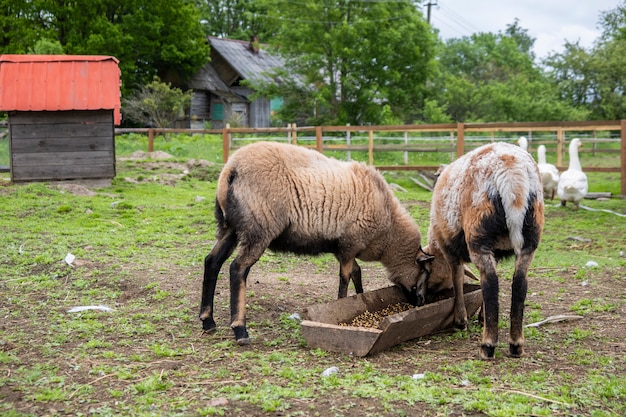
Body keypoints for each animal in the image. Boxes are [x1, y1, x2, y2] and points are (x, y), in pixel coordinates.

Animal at [200, 141, 434, 342]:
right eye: (425, 272)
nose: (422, 302)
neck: (389, 228)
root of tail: (231, 169)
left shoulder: (344, 248)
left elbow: (356, 273)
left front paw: (362, 298)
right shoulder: (350, 244)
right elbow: (345, 278)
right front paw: (342, 304)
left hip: (230, 228)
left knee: (212, 262)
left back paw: (208, 321)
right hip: (259, 227)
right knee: (237, 268)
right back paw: (240, 330)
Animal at [424, 141, 540, 360]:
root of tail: (511, 170)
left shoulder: (448, 248)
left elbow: (457, 279)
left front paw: (460, 321)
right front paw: (482, 317)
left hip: (479, 233)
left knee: (490, 283)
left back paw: (488, 345)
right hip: (531, 236)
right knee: (519, 283)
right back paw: (515, 345)